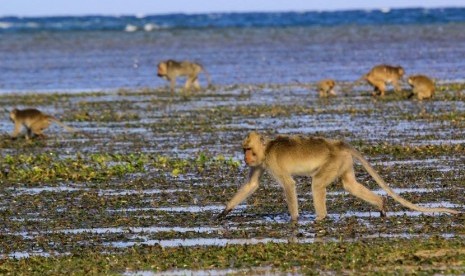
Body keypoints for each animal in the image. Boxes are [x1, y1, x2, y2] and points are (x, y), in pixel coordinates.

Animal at [216, 131, 458, 222]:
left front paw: (294, 220)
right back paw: (380, 202)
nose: (245, 157)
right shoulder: (261, 163)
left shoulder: (272, 162)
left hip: (333, 161)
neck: (266, 150)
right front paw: (224, 211)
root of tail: (340, 145)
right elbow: (252, 184)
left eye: (249, 149)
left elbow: (289, 185)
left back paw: (320, 218)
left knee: (317, 185)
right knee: (350, 184)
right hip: (343, 162)